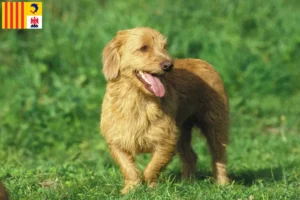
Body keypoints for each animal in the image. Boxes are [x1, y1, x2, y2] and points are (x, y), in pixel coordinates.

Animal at [101, 27, 230, 194]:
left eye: (164, 47)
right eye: (144, 48)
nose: (169, 65)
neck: (138, 100)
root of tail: (203, 62)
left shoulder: (166, 140)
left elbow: (152, 168)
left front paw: (151, 188)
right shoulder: (116, 141)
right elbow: (128, 168)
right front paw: (131, 189)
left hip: (214, 126)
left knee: (218, 156)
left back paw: (222, 184)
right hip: (182, 132)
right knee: (191, 157)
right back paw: (187, 184)